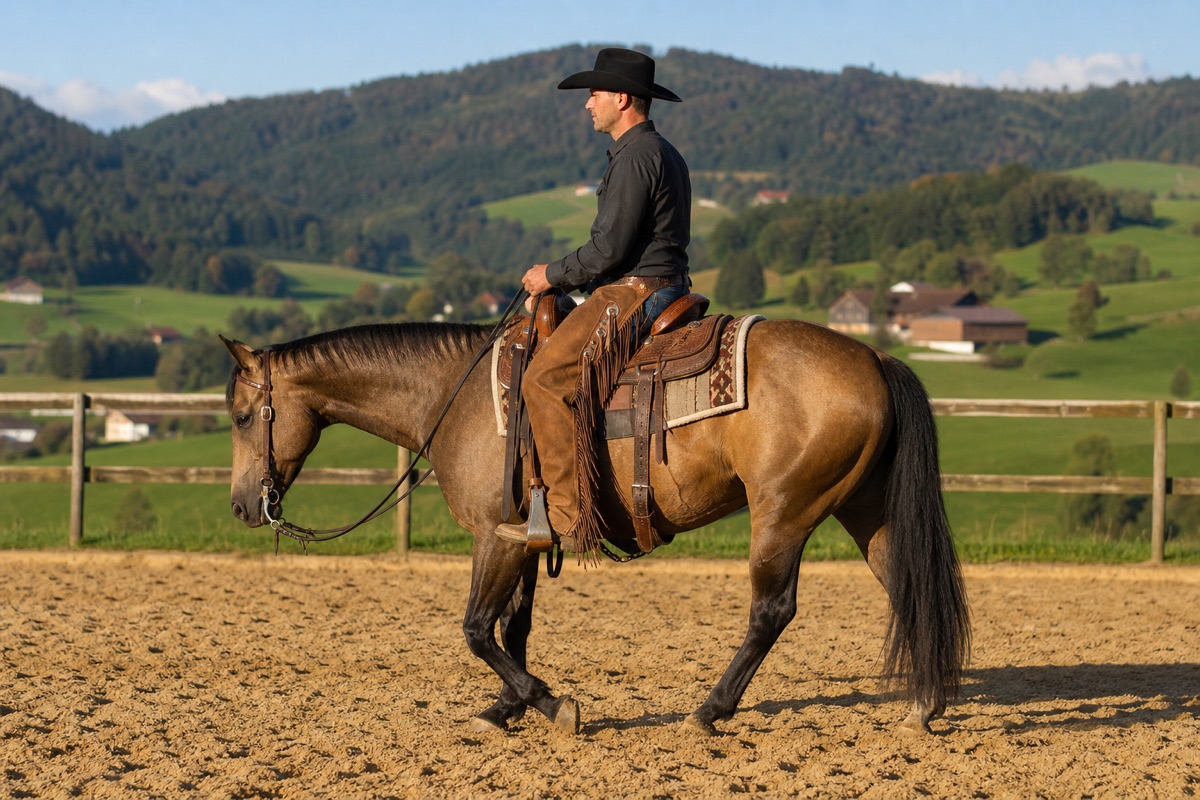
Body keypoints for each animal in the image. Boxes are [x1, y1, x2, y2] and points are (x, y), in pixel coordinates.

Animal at [221, 317, 970, 736]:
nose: (241, 506)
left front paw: (550, 706)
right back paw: (924, 706)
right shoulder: (525, 540)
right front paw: (505, 709)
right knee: (907, 584)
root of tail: (875, 358)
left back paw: (711, 710)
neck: (455, 399)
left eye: (239, 415)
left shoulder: (494, 536)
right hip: (865, 510)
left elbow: (476, 628)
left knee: (771, 611)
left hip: (783, 514)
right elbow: (514, 628)